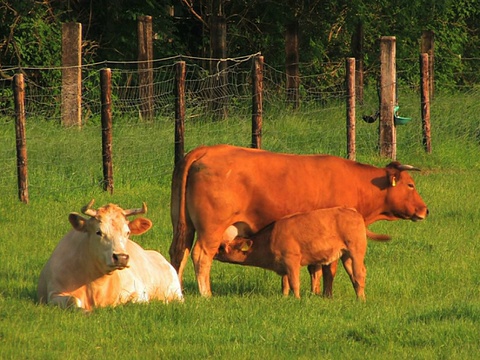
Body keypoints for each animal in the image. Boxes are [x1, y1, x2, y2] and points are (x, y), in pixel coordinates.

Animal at [37, 200, 184, 312]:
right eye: (98, 232)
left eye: (127, 232)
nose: (122, 257)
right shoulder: (53, 294)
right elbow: (73, 301)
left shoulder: (139, 293)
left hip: (176, 293)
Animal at [216, 207, 392, 300]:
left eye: (221, 247)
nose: (214, 252)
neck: (271, 237)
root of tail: (354, 212)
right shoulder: (283, 266)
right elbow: (285, 283)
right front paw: (285, 297)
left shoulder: (292, 261)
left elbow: (295, 282)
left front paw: (297, 299)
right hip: (346, 256)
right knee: (355, 275)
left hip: (356, 252)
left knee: (359, 274)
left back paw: (361, 299)